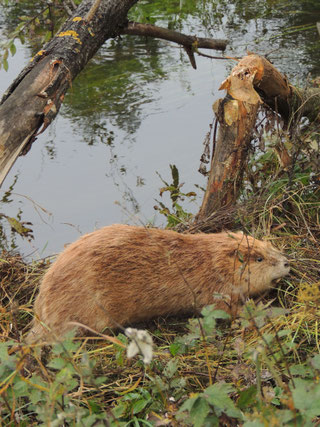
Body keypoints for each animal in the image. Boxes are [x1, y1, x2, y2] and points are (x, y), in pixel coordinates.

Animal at [25, 224, 290, 344]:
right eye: (259, 258)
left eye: (268, 246)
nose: (286, 262)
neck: (207, 260)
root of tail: (40, 317)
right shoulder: (213, 290)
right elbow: (227, 310)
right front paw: (263, 305)